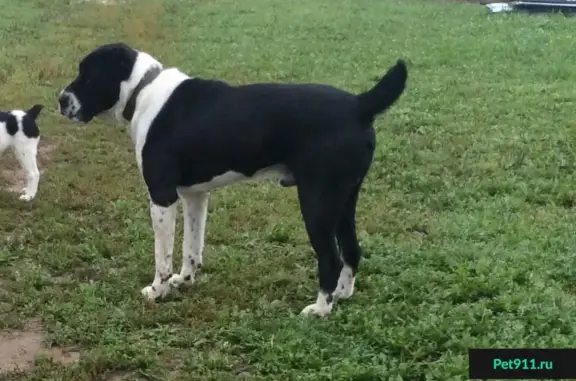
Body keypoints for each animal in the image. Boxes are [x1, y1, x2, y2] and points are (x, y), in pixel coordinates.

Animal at [58, 43, 408, 316]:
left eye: (87, 75)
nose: (61, 99)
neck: (143, 91)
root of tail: (359, 104)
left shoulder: (162, 197)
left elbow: (163, 257)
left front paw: (157, 291)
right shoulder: (194, 196)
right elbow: (191, 247)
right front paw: (185, 281)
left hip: (317, 203)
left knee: (332, 258)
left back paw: (320, 309)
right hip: (344, 200)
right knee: (352, 249)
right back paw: (341, 295)